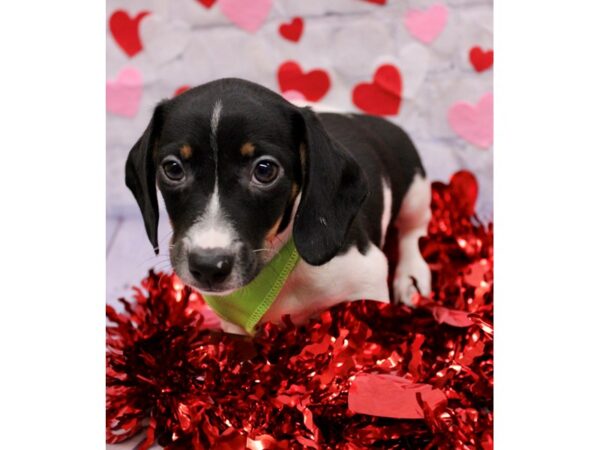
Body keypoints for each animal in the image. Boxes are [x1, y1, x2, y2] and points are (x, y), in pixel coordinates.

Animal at [125, 77, 432, 334]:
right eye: (173, 169)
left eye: (265, 170)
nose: (209, 266)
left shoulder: (368, 278)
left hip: (415, 191)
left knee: (413, 231)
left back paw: (412, 275)